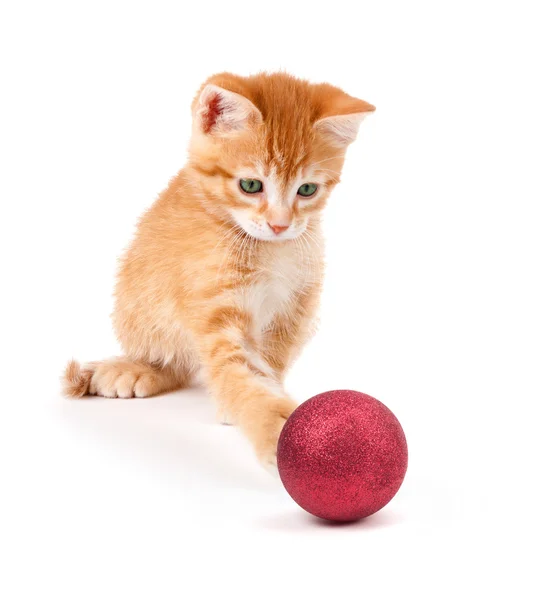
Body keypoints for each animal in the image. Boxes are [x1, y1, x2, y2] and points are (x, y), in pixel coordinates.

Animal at [61, 71, 372, 468]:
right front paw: (275, 427)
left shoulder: (295, 306)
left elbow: (270, 361)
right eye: (251, 185)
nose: (280, 225)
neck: (270, 250)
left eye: (307, 190)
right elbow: (238, 367)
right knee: (175, 360)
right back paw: (137, 369)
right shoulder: (213, 305)